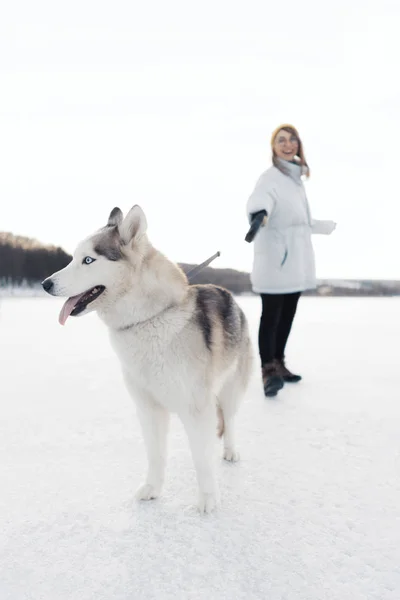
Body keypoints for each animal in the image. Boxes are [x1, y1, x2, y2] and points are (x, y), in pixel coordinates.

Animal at [43, 205, 253, 510]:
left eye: (88, 260)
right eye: (73, 258)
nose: (45, 283)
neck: (148, 318)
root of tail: (227, 294)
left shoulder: (195, 407)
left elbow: (202, 460)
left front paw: (208, 499)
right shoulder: (148, 408)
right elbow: (156, 454)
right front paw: (153, 488)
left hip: (230, 390)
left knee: (231, 420)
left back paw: (231, 451)